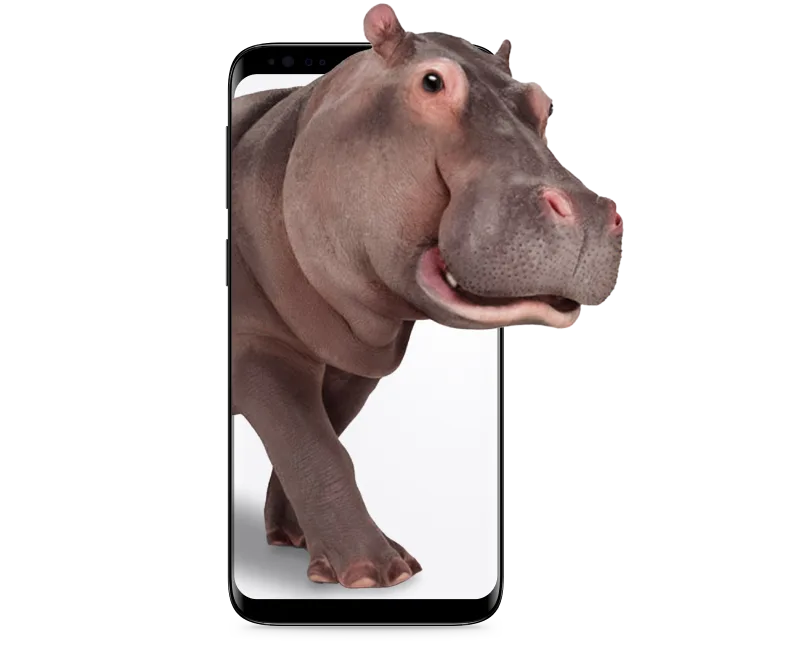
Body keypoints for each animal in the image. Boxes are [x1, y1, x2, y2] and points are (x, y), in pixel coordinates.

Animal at [230, 3, 623, 589]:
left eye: (540, 100)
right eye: (432, 82)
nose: (593, 212)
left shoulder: (353, 366)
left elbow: (319, 441)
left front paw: (298, 541)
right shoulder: (256, 347)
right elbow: (315, 447)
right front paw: (376, 573)